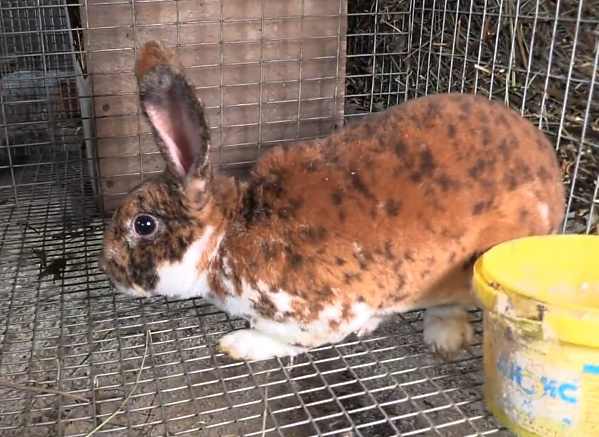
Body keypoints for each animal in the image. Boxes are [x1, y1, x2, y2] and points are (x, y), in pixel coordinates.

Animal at [100, 41, 565, 362]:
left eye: (143, 224)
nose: (109, 271)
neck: (226, 236)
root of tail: (550, 167)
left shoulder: (315, 317)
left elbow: (284, 341)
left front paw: (237, 344)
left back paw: (443, 337)